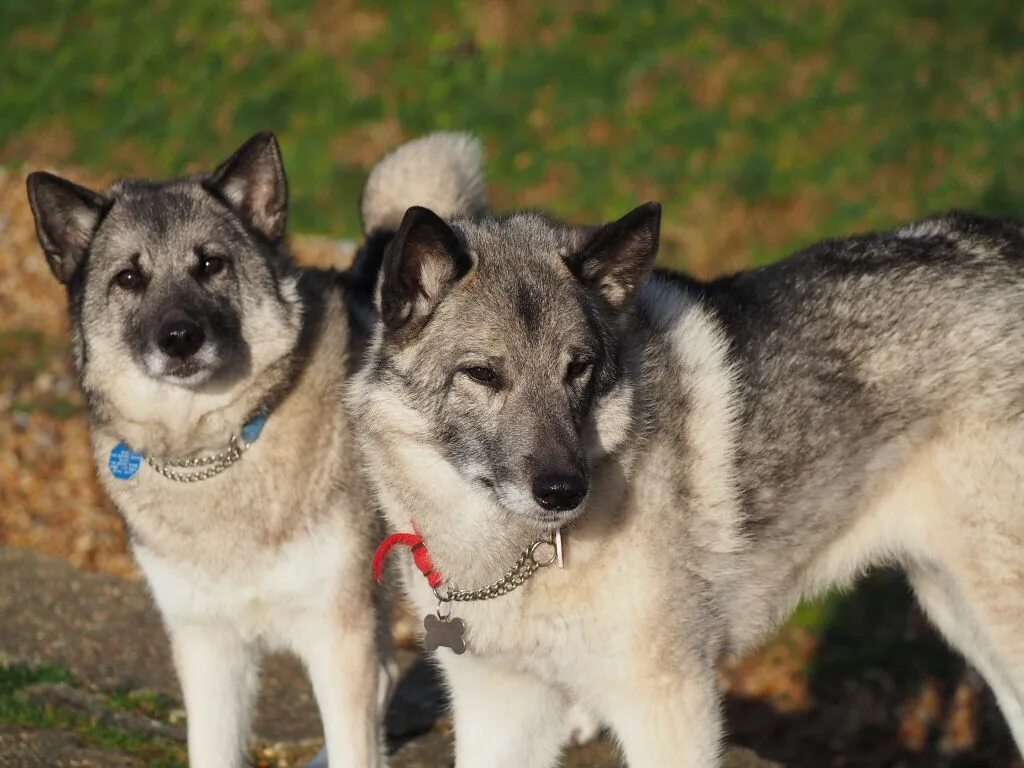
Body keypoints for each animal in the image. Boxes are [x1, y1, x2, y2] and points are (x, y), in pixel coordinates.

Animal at [24, 134, 487, 768]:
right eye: (128, 278)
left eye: (210, 264)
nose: (179, 339)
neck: (217, 450)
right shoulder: (209, 651)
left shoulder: (337, 636)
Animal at [350, 144, 1024, 765]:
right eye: (483, 375)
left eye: (579, 369)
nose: (565, 491)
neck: (508, 556)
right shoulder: (501, 712)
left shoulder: (669, 707)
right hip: (957, 608)